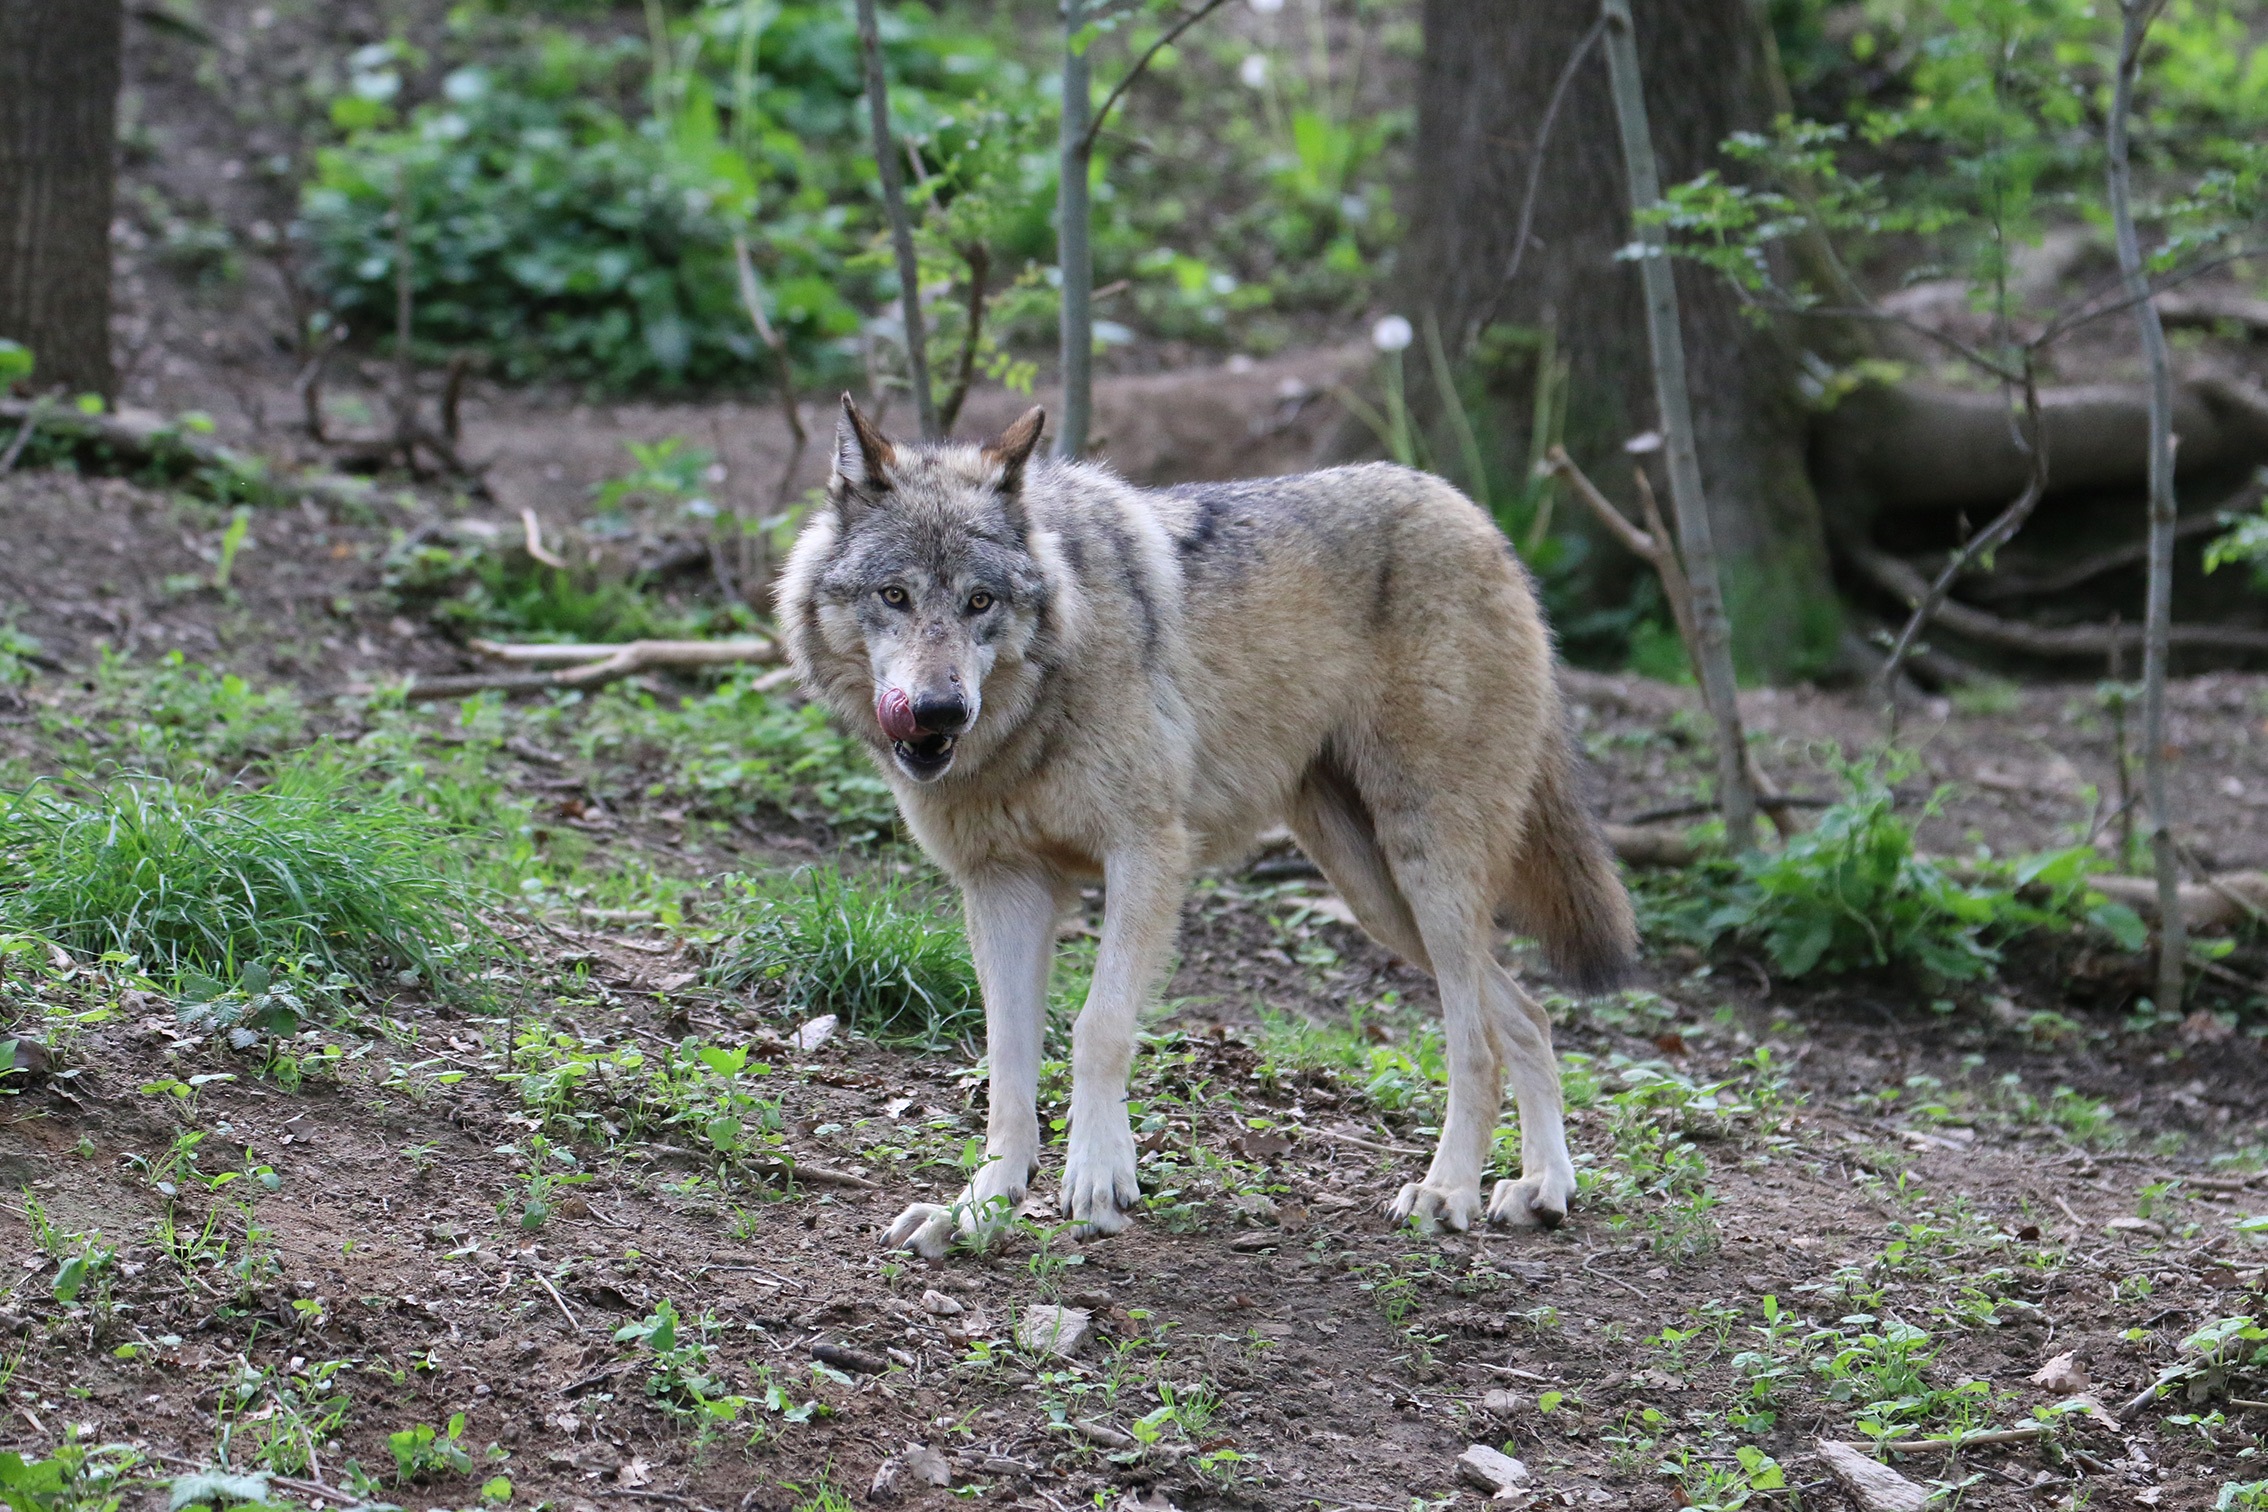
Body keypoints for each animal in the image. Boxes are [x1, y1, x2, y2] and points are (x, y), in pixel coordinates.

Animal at [775, 395, 1635, 1257]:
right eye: (894, 596)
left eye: (979, 602)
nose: (939, 710)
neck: (1039, 706)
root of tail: (1479, 518)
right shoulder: (1003, 885)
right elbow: (1008, 1067)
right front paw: (979, 1208)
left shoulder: (1148, 854)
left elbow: (1098, 1028)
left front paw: (1098, 1179)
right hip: (1376, 893)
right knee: (1529, 1014)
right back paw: (1543, 1187)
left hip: (1428, 872)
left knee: (1477, 1041)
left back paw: (1447, 1189)